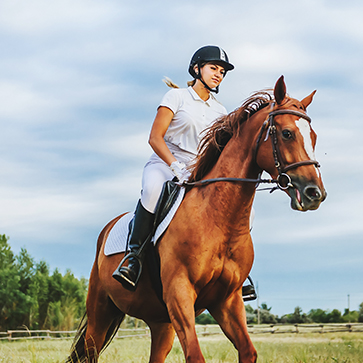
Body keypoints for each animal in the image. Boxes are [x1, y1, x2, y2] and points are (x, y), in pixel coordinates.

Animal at [65, 75, 328, 362]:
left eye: (314, 136)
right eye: (287, 133)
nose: (315, 194)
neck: (218, 219)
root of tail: (108, 228)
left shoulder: (227, 300)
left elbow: (248, 351)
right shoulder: (180, 293)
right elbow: (195, 355)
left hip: (161, 323)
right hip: (100, 313)